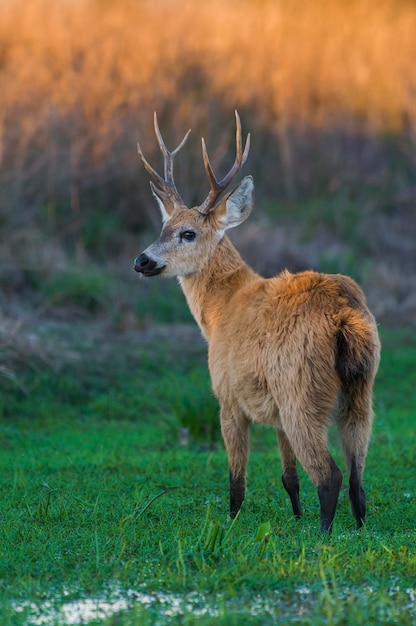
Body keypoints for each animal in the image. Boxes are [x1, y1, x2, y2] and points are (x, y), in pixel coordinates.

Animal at [133, 111, 380, 532]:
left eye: (188, 233)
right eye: (162, 228)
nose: (141, 261)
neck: (220, 312)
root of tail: (343, 314)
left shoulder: (227, 394)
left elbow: (236, 479)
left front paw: (230, 523)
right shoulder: (275, 412)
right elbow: (288, 476)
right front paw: (295, 515)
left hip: (301, 388)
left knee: (329, 474)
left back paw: (324, 534)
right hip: (361, 388)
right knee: (357, 477)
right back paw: (358, 528)